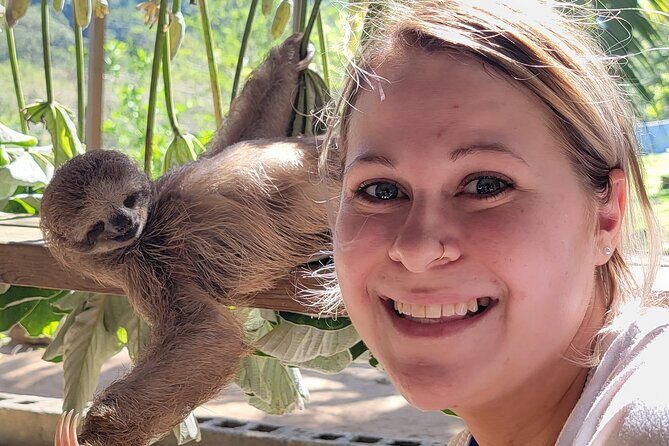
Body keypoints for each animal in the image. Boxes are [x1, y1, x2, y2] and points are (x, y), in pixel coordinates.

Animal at [41, 33, 335, 446]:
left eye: (128, 199)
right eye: (96, 227)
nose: (124, 222)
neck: (149, 227)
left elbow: (239, 138)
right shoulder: (152, 268)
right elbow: (207, 333)